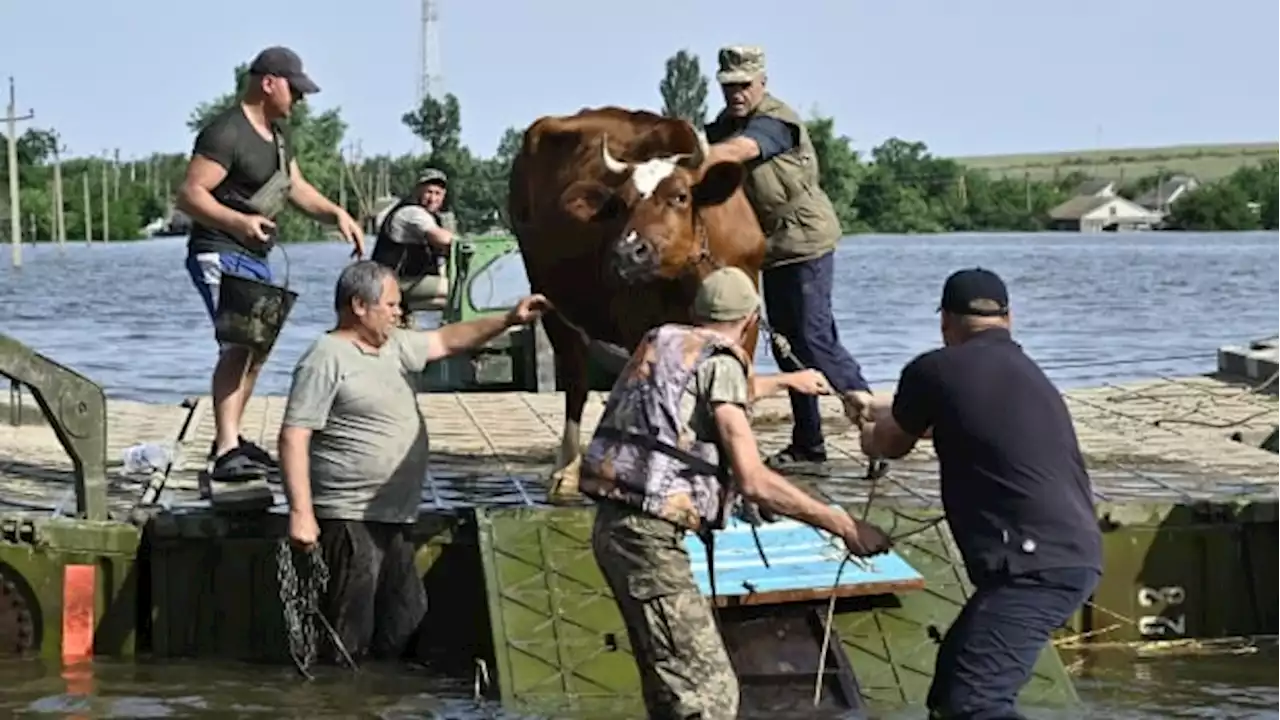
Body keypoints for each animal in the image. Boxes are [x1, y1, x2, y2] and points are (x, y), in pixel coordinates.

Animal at [506, 106, 768, 497]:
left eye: (680, 196)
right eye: (620, 205)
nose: (626, 252)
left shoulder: (747, 327)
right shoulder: (639, 324)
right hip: (550, 301)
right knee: (576, 379)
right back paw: (566, 469)